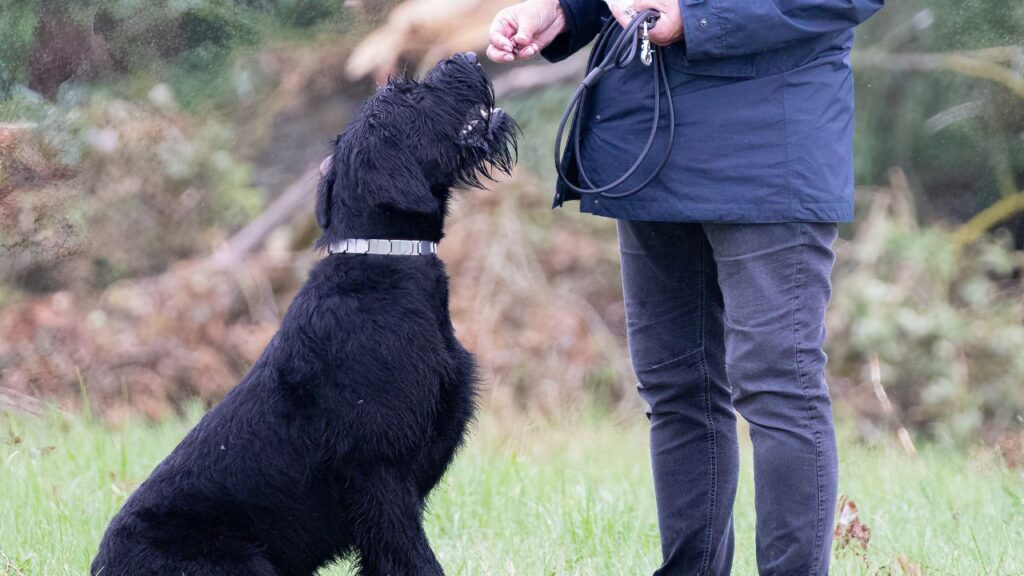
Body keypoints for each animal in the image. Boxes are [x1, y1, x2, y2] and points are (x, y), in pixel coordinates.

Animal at [92, 51, 516, 569]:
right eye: (409, 93)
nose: (470, 56)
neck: (381, 265)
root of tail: (102, 564)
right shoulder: (381, 474)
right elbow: (414, 560)